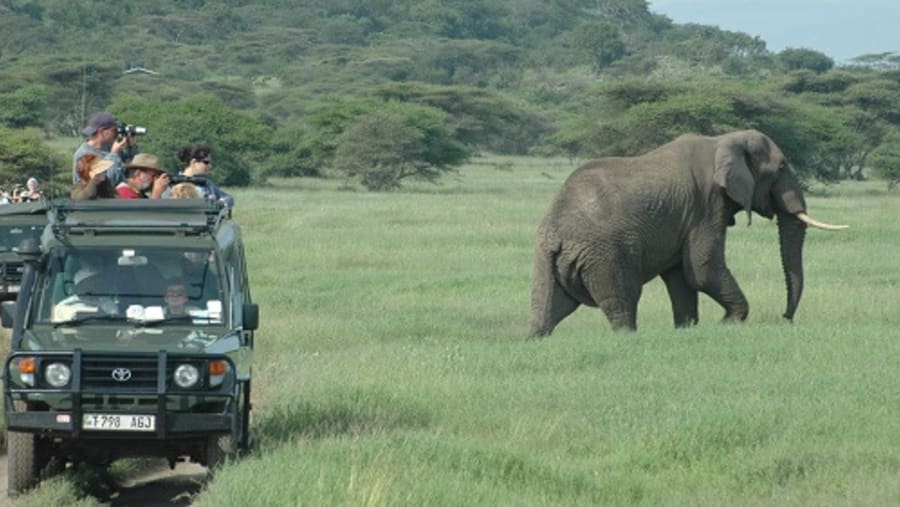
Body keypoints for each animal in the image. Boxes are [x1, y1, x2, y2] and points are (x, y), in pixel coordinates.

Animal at [528, 129, 846, 336]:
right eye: (780, 167)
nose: (785, 317)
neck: (723, 140)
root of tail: (555, 234)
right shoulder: (705, 205)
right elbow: (701, 267)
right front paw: (729, 323)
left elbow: (681, 275)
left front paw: (686, 328)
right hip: (604, 255)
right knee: (622, 300)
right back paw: (627, 337)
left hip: (550, 259)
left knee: (549, 307)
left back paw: (537, 337)